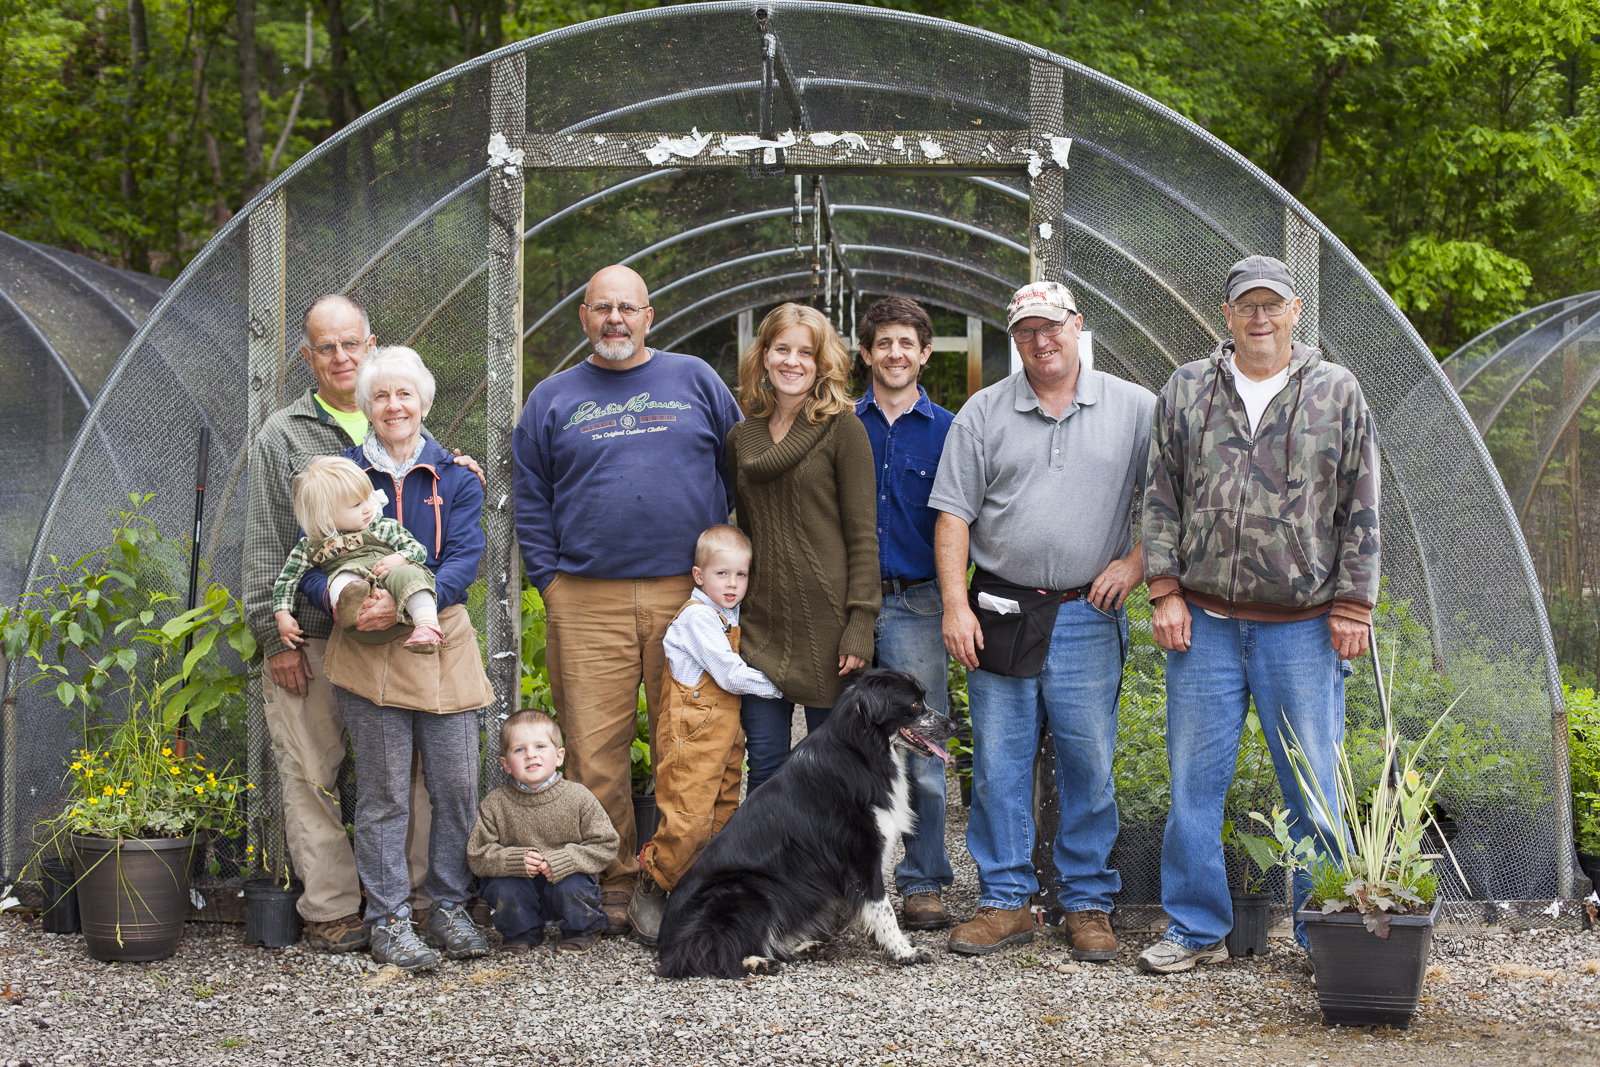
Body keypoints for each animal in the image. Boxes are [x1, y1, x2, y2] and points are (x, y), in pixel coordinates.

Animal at [649, 671, 947, 979]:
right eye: (915, 704)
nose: (952, 725)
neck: (862, 752)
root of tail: (664, 943)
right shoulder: (861, 856)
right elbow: (882, 907)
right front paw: (905, 952)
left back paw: (807, 947)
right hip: (745, 891)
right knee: (701, 951)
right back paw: (758, 962)